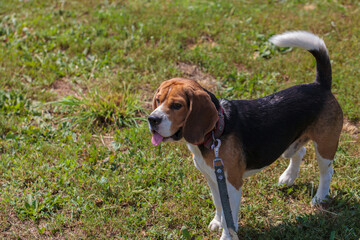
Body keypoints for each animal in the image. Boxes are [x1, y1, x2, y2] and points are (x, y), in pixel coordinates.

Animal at [148, 31, 344, 238]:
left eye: (177, 105)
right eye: (158, 100)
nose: (152, 119)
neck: (216, 131)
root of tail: (320, 85)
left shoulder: (232, 183)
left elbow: (229, 218)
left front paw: (227, 236)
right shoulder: (213, 179)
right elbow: (219, 205)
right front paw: (217, 221)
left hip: (325, 145)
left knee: (327, 172)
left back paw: (320, 198)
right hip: (289, 144)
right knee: (300, 152)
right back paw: (288, 177)